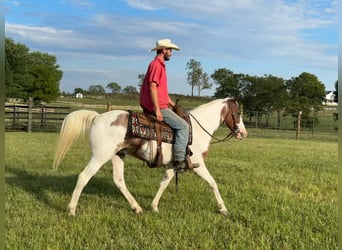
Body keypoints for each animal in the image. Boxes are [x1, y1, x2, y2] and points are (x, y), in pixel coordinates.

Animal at [52, 97, 247, 215]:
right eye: (238, 113)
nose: (243, 133)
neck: (196, 130)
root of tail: (97, 117)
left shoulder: (172, 165)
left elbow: (164, 183)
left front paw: (154, 206)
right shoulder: (197, 163)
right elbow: (212, 182)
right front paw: (223, 208)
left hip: (117, 155)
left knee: (118, 180)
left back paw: (137, 208)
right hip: (100, 156)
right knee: (84, 177)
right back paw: (71, 210)